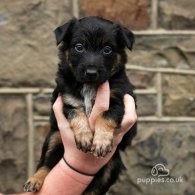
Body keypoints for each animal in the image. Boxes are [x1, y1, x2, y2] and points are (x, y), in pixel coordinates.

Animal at [23, 16, 137, 194]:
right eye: (79, 47)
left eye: (107, 49)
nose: (91, 73)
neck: (89, 85)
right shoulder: (67, 100)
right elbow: (77, 114)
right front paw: (84, 137)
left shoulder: (120, 100)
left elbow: (106, 115)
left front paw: (101, 141)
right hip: (54, 137)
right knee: (45, 164)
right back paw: (35, 179)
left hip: (112, 164)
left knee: (95, 189)